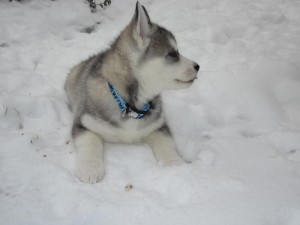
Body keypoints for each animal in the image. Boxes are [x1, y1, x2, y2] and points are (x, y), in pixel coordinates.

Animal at [67, 1, 200, 183]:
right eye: (173, 54)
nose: (198, 66)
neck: (131, 105)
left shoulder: (158, 126)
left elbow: (166, 144)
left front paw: (174, 163)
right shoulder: (83, 122)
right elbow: (90, 142)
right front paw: (90, 168)